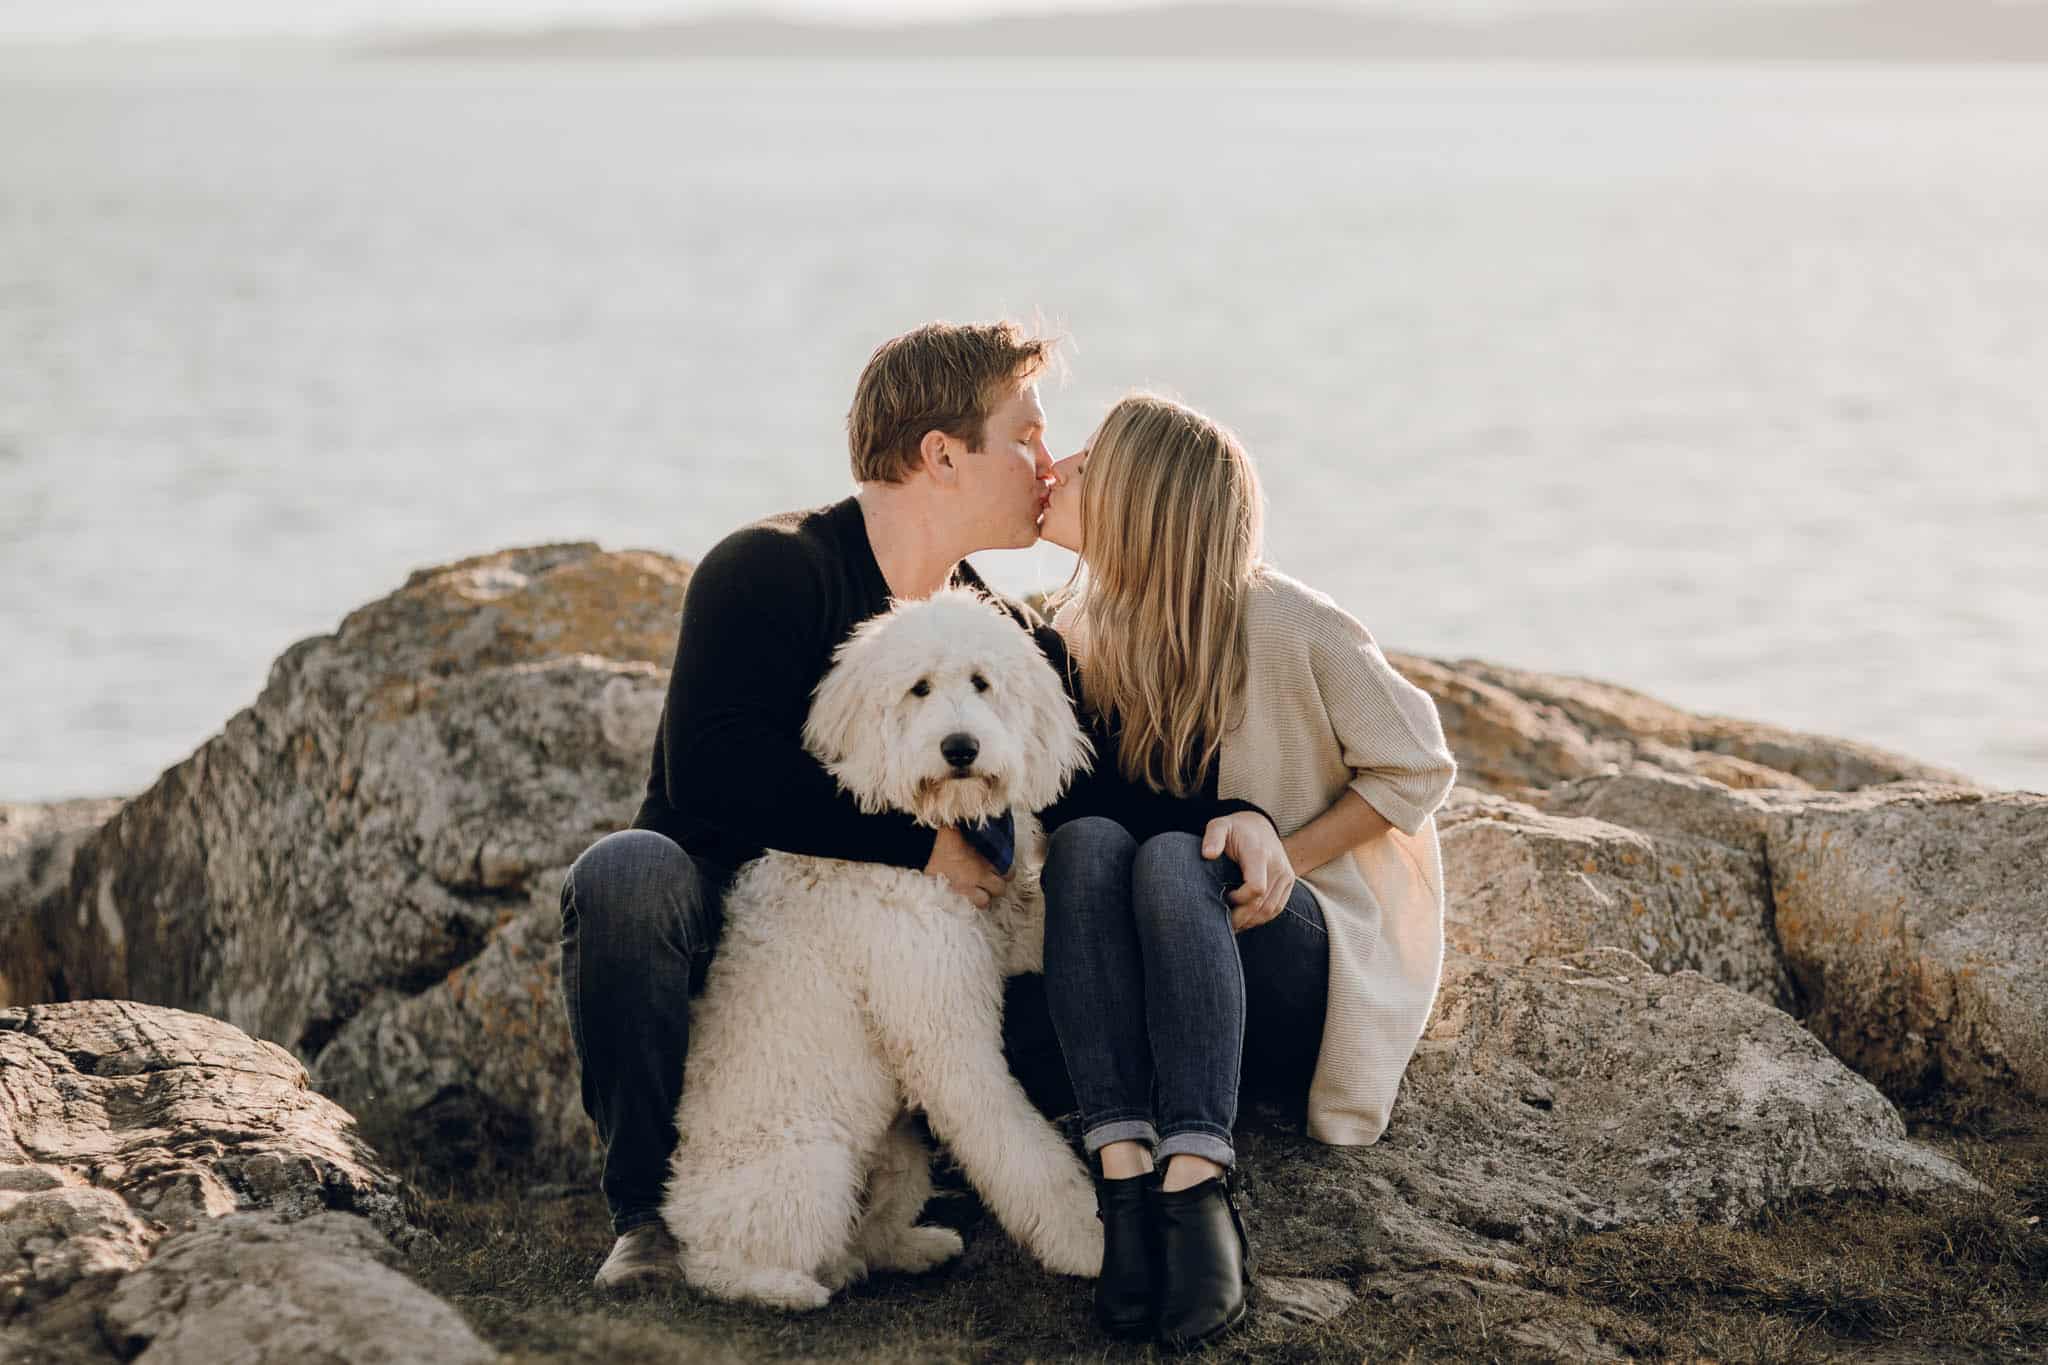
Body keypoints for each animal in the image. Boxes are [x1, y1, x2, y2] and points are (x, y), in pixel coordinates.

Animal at [659, 589, 1105, 1309]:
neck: (934, 829)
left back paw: (908, 1249)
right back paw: (787, 1287)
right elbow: (1017, 1145)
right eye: (918, 688)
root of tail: (680, 1202)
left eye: (982, 682)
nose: (960, 747)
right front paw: (1085, 1238)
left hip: (897, 1150)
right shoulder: (945, 1033)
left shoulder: (998, 933)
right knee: (722, 1261)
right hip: (808, 1170)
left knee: (867, 1235)